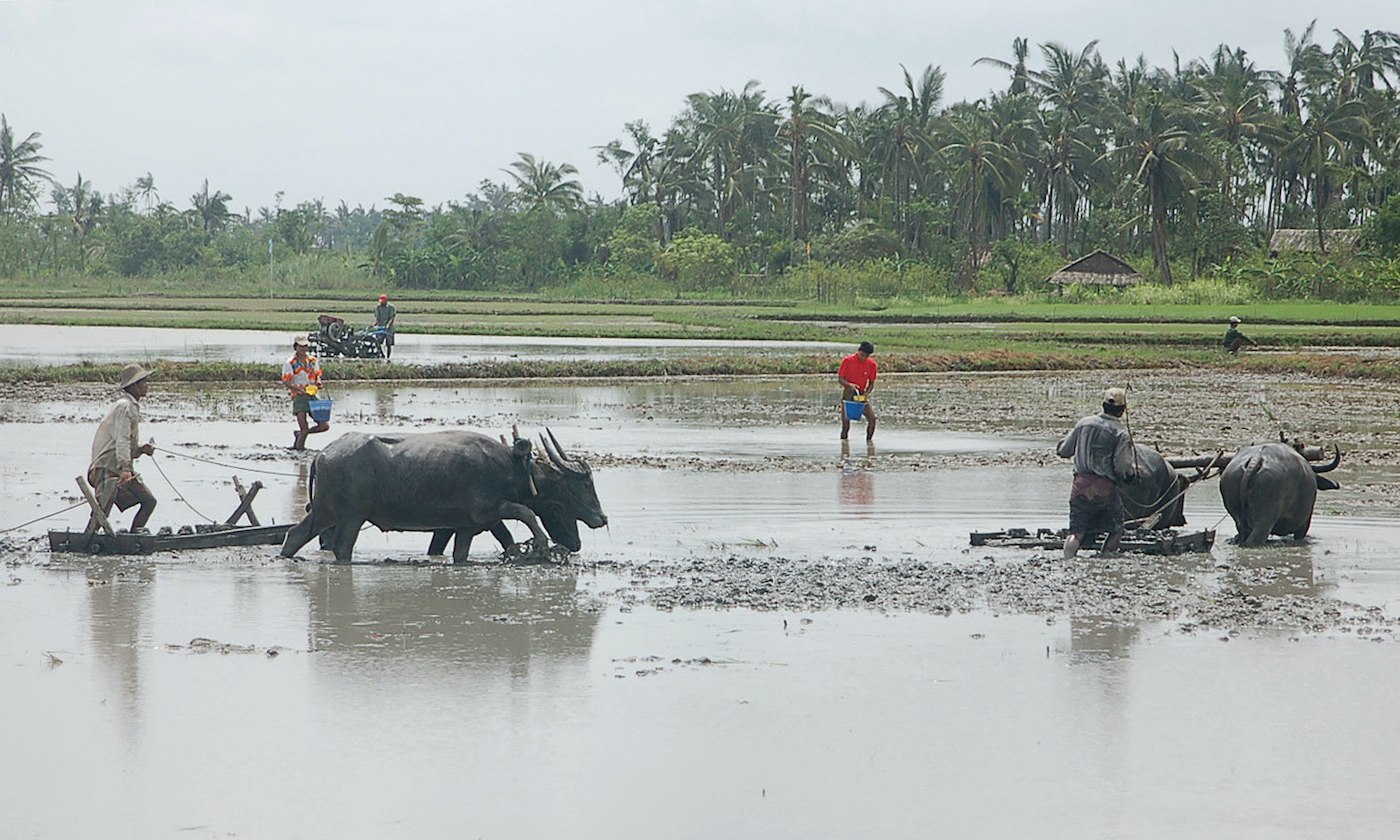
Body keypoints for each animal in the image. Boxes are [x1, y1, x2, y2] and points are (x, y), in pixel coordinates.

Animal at [284, 431, 607, 560]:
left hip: (325, 512)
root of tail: (323, 454)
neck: (513, 467)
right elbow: (524, 512)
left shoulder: (465, 526)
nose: (601, 518)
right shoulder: (487, 511)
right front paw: (540, 543)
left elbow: (464, 552)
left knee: (295, 535)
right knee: (341, 547)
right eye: (583, 485)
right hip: (351, 516)